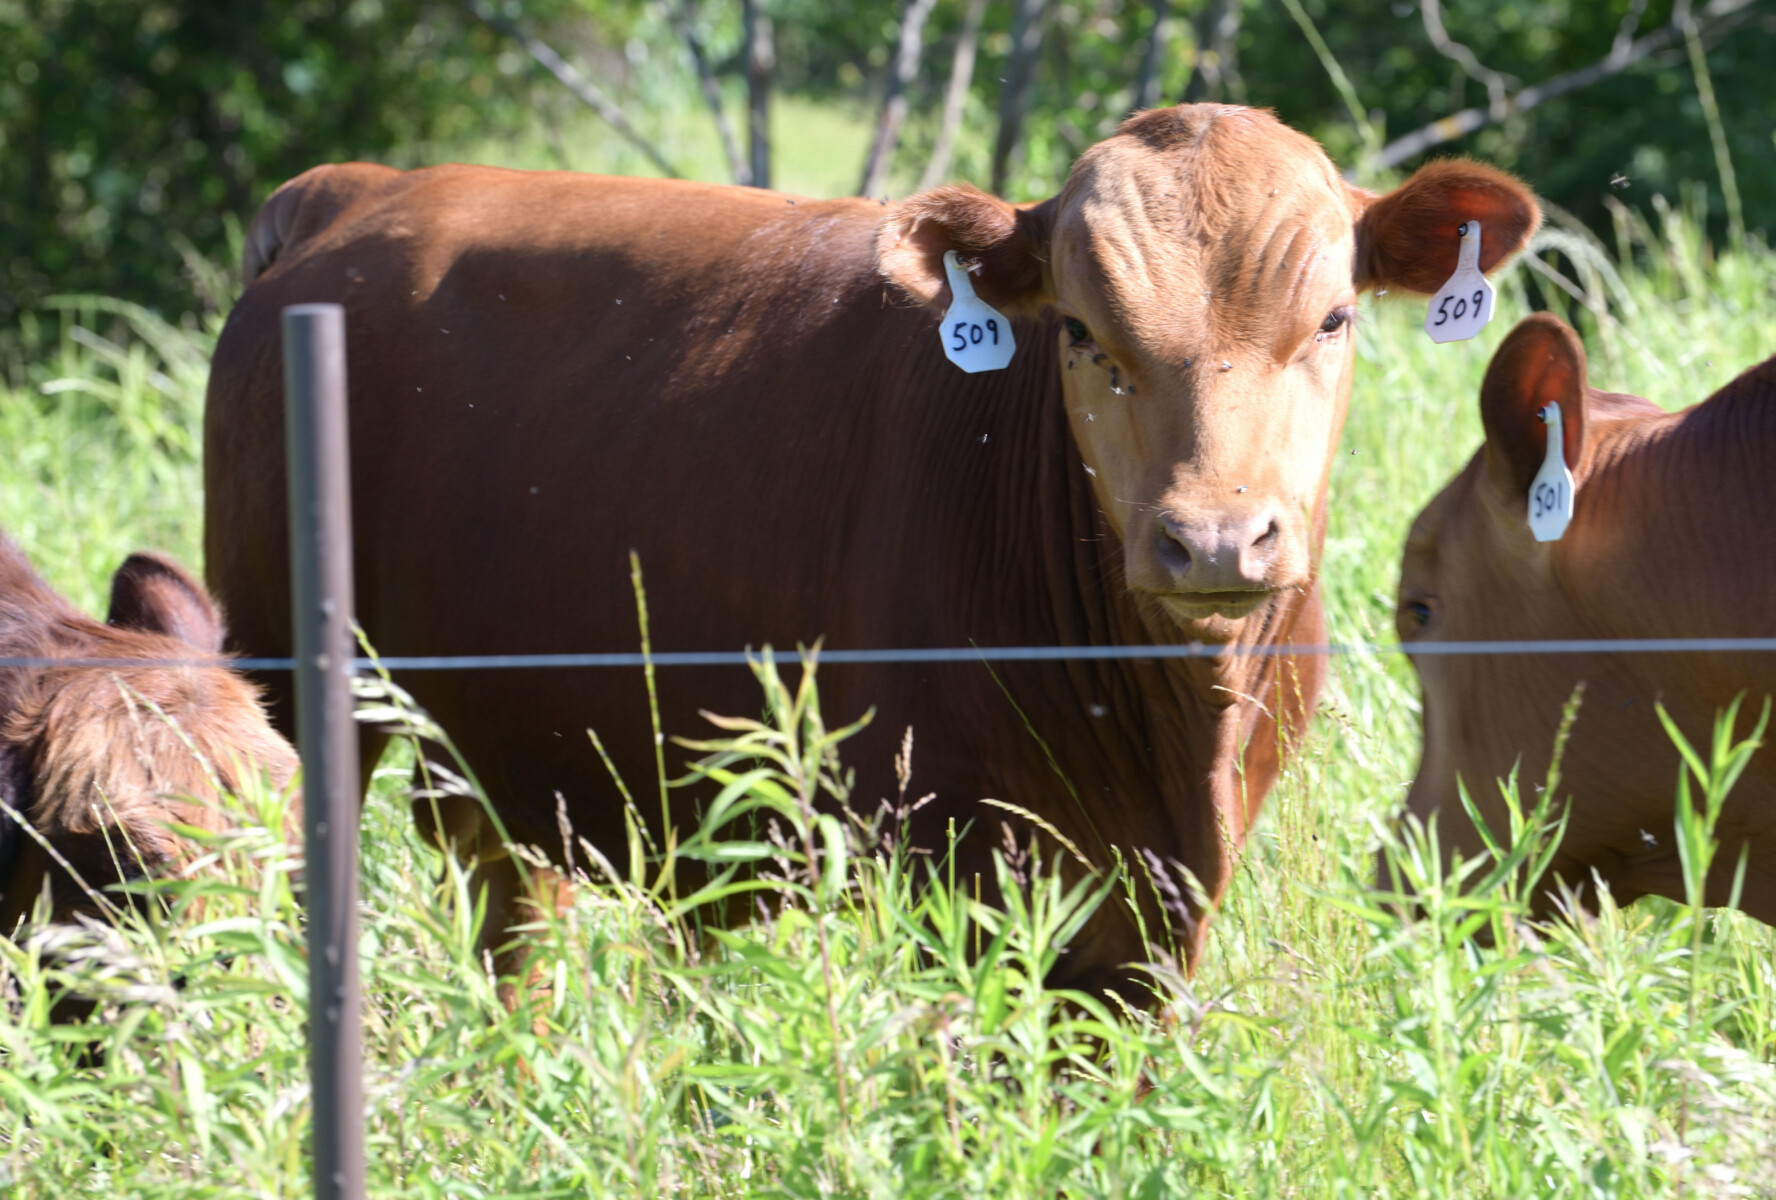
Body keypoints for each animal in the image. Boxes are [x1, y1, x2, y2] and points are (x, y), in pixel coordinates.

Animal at [206, 104, 1537, 1002]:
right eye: (1082, 334)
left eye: (1334, 318)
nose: (1213, 535)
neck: (1169, 721)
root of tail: (358, 192)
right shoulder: (954, 865)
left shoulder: (1153, 901)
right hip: (282, 680)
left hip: (489, 747)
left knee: (511, 919)